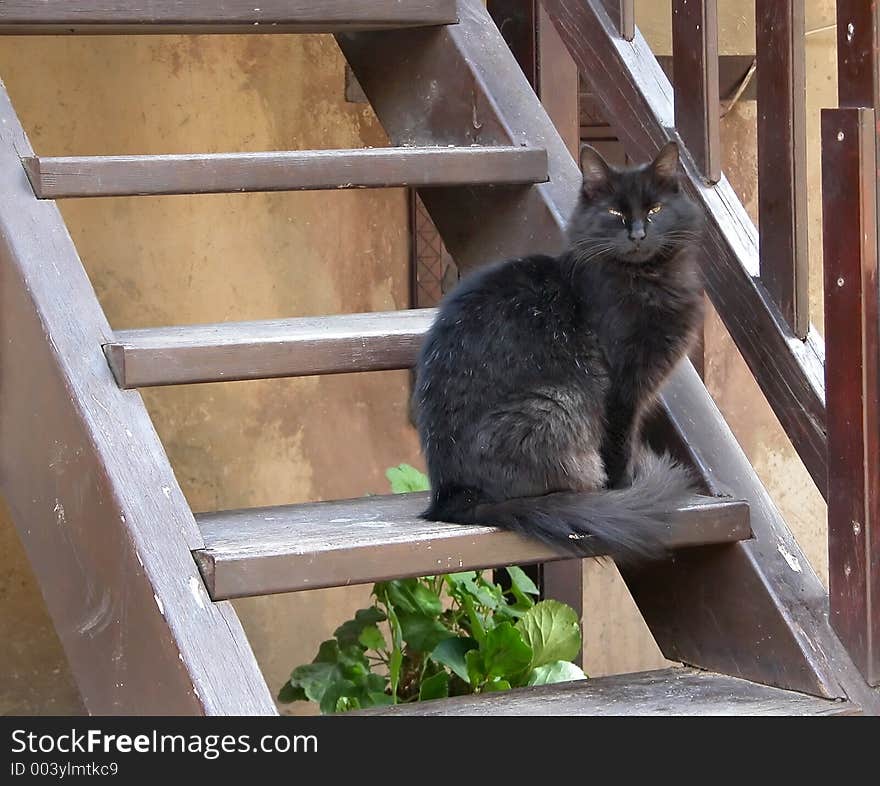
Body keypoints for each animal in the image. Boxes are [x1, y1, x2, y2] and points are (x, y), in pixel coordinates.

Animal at [414, 139, 708, 556]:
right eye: (614, 212)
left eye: (655, 209)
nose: (637, 234)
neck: (647, 279)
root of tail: (452, 498)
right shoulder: (622, 389)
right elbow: (619, 447)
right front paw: (625, 491)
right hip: (556, 402)